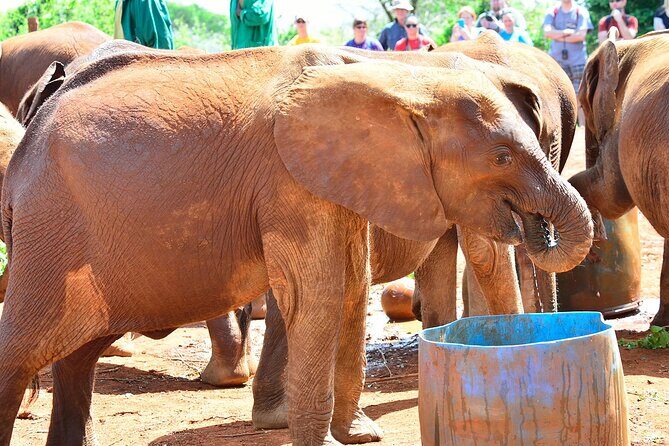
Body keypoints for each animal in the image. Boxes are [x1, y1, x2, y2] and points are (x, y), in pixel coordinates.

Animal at [0, 45, 593, 446]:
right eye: (501, 156)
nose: (538, 226)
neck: (399, 79)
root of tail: (28, 140)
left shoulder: (340, 179)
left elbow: (349, 287)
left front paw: (358, 436)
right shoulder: (291, 182)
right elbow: (321, 294)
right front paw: (329, 440)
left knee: (78, 356)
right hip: (52, 231)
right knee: (24, 348)